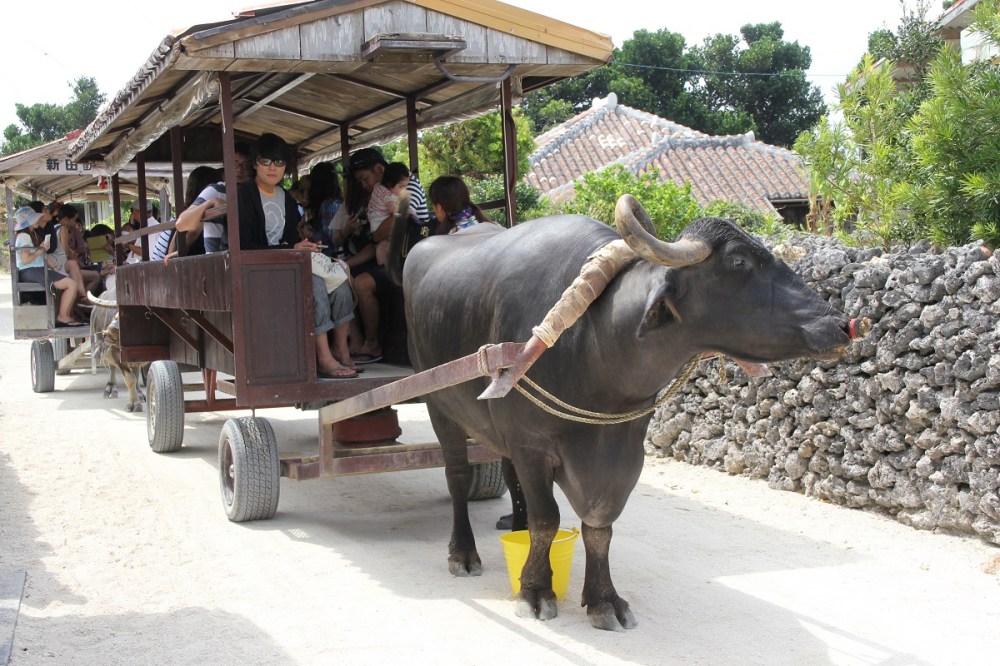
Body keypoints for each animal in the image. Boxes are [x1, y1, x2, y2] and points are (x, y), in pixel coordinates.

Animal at [386, 195, 854, 631]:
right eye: (739, 261)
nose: (844, 324)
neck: (595, 345)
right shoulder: (532, 445)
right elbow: (546, 518)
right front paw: (535, 591)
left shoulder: (623, 453)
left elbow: (600, 526)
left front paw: (603, 599)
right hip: (440, 407)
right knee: (457, 478)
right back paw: (463, 552)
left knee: (508, 473)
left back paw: (512, 525)